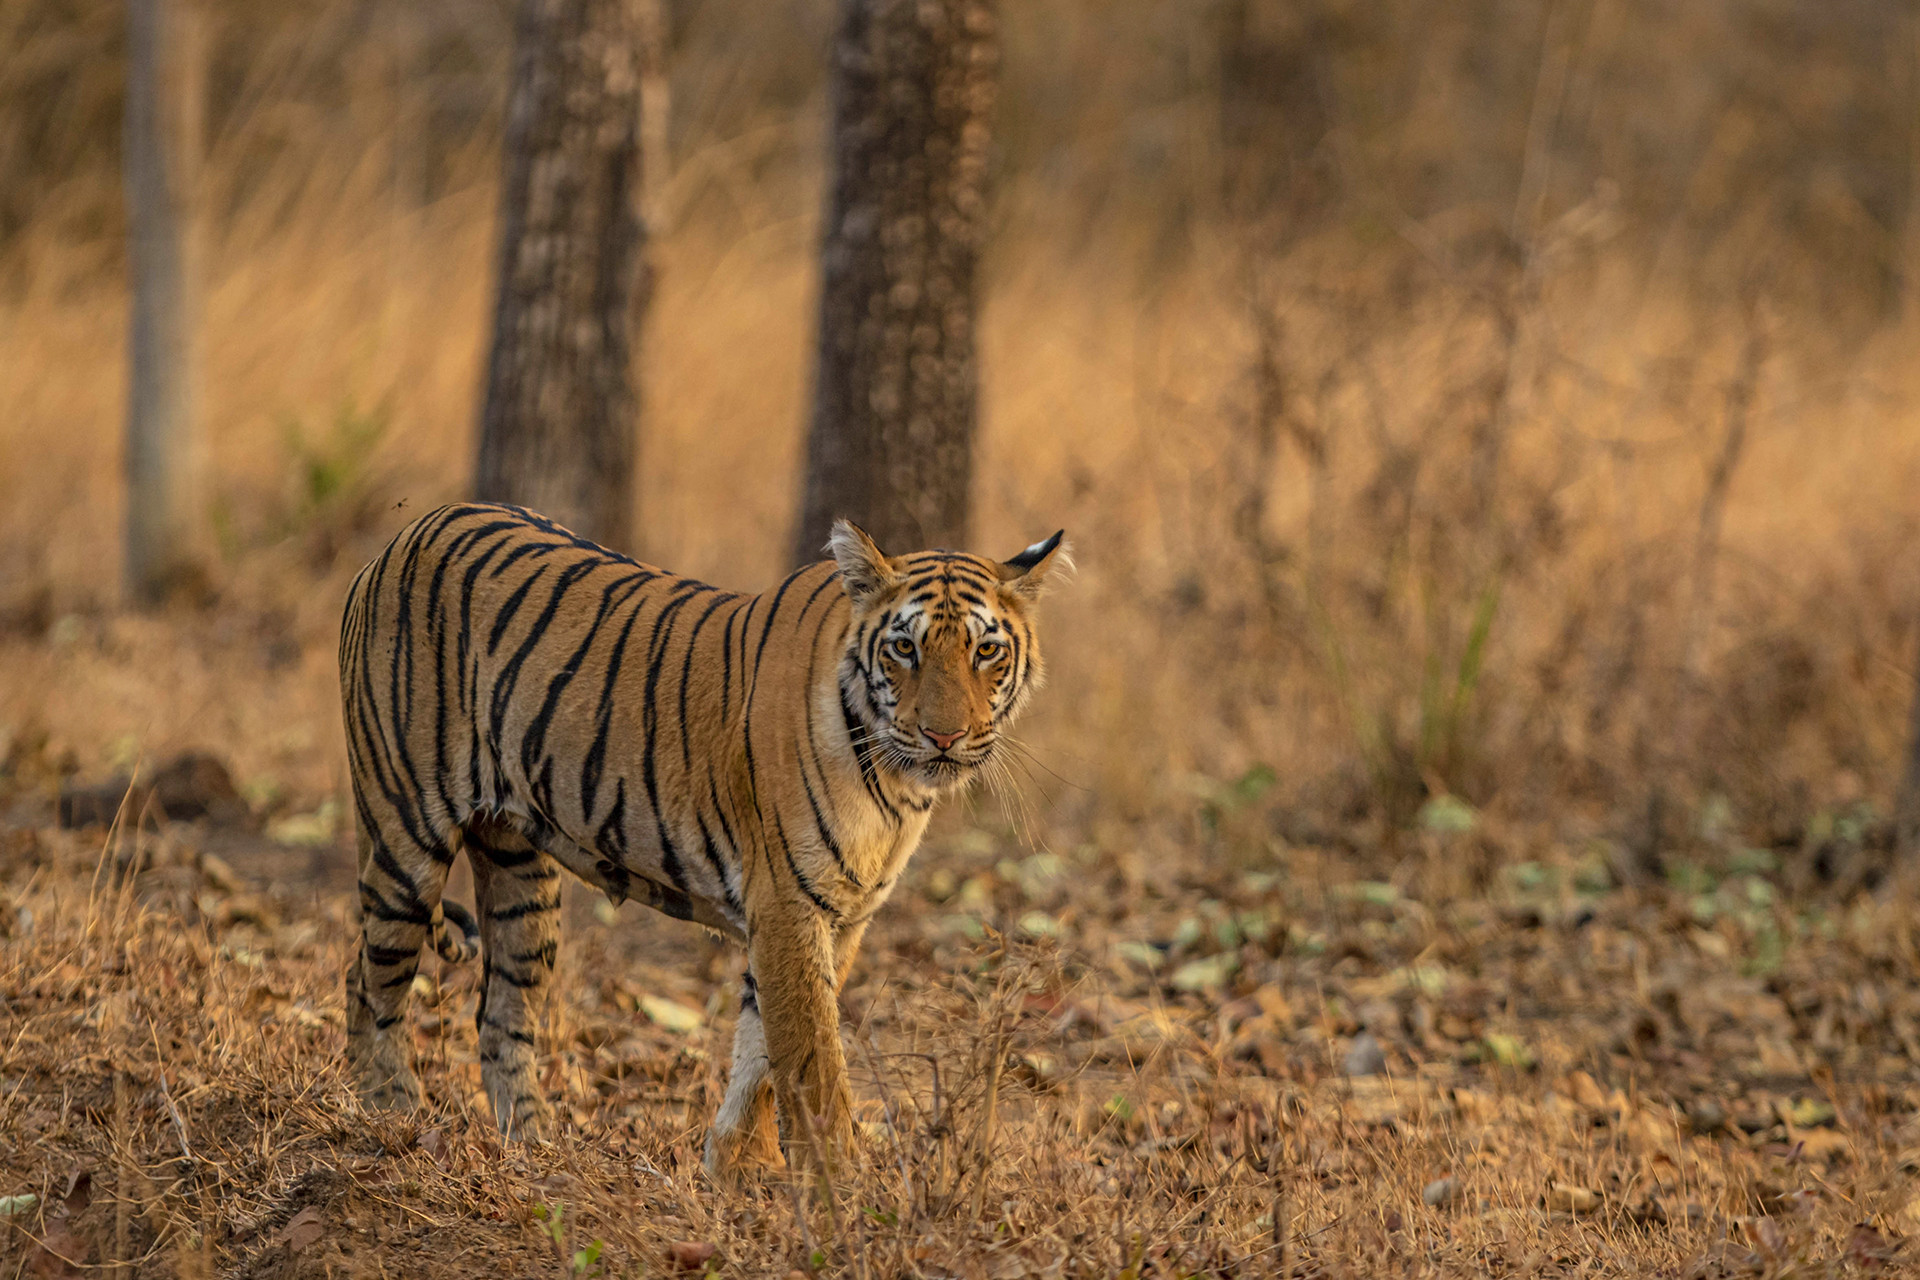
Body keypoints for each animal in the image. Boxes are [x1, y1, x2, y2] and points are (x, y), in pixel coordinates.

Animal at [338, 502, 1067, 1180]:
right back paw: (390, 1116)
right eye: (905, 649)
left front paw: (737, 1173)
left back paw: (536, 1149)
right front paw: (839, 1190)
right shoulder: (789, 904)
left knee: (500, 1017)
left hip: (523, 880)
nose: (945, 736)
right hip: (408, 833)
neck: (894, 783)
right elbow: (812, 1061)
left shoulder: (840, 915)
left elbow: (761, 1055)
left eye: (986, 651)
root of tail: (410, 531)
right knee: (370, 981)